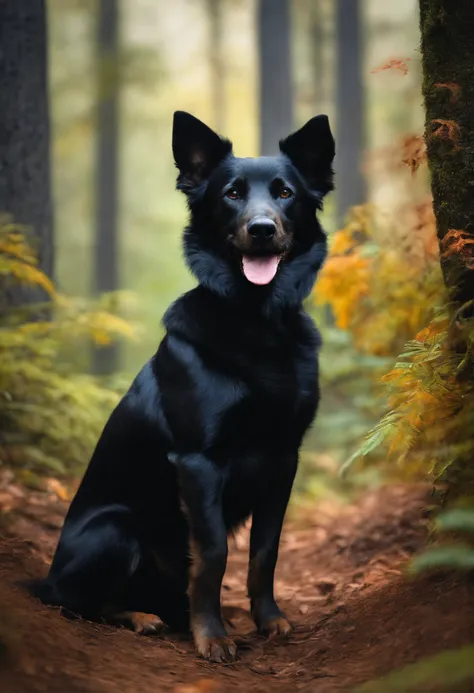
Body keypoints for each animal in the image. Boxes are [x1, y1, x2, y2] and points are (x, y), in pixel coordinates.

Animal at [29, 111, 336, 664]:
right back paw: (140, 617)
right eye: (232, 194)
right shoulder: (197, 461)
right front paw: (211, 636)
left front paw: (269, 619)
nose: (262, 229)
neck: (255, 322)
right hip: (115, 528)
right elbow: (213, 553)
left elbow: (265, 550)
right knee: (77, 602)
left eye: (285, 193)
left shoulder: (285, 457)